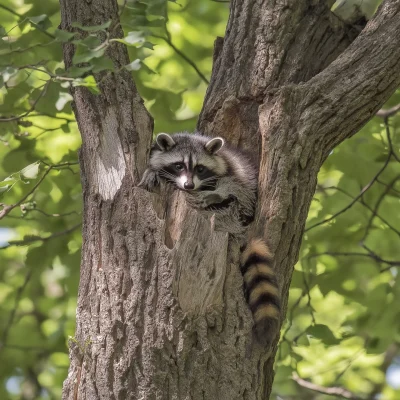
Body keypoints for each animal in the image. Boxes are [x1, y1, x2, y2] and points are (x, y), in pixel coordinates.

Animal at [139, 132, 280, 344]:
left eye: (200, 168)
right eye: (179, 165)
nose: (189, 185)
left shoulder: (233, 169)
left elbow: (237, 186)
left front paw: (215, 192)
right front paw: (152, 172)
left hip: (237, 211)